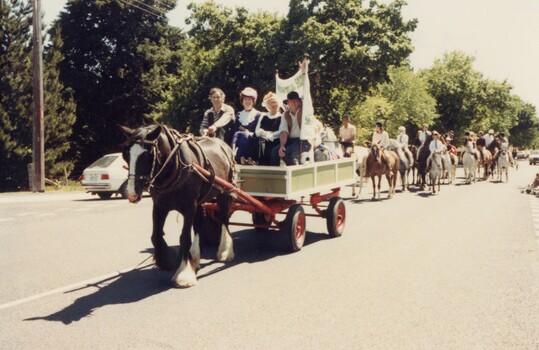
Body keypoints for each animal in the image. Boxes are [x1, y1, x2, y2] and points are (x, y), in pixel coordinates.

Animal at [121, 123, 235, 288]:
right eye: (126, 155)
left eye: (147, 155)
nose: (131, 194)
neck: (174, 167)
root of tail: (223, 145)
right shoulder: (160, 206)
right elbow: (156, 235)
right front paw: (169, 261)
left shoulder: (189, 207)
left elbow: (184, 237)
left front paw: (184, 274)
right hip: (200, 202)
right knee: (200, 225)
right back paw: (195, 258)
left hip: (225, 193)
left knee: (224, 219)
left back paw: (225, 252)